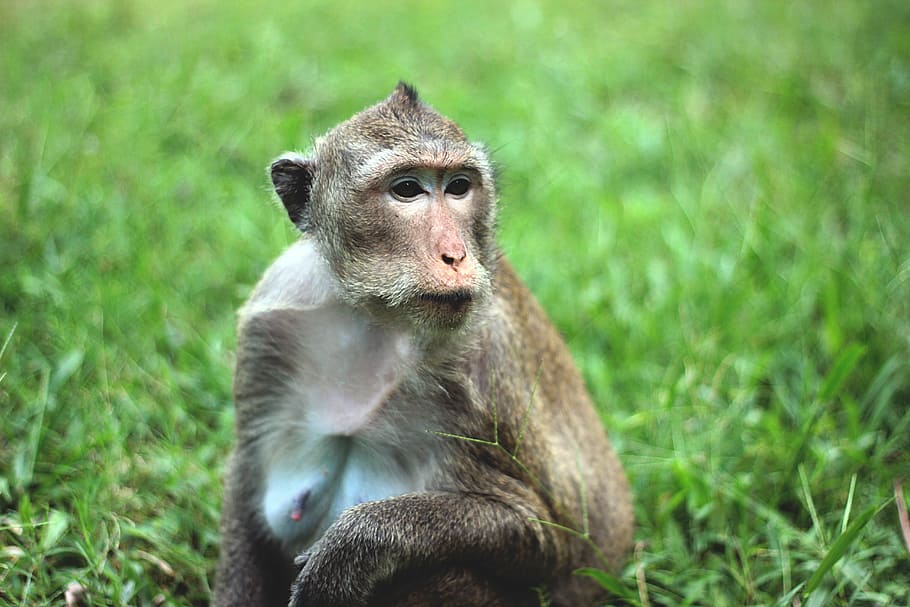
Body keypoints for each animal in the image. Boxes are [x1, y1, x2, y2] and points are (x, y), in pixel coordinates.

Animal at [213, 82, 633, 607]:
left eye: (458, 186)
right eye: (407, 189)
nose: (455, 254)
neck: (379, 318)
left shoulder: (481, 377)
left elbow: (545, 537)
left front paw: (352, 547)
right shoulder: (270, 330)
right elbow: (249, 499)